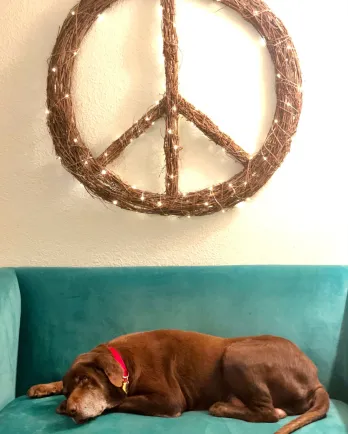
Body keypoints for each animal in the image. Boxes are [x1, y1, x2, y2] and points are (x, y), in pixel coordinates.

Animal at [27, 330, 328, 432]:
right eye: (69, 389)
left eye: (87, 381)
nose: (72, 409)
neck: (126, 362)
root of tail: (316, 380)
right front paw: (44, 388)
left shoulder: (169, 400)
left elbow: (121, 401)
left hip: (237, 353)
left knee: (269, 414)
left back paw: (221, 407)